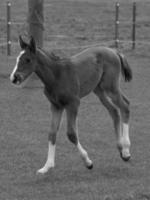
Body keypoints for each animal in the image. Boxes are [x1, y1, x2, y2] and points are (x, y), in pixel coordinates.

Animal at [10, 36, 132, 174]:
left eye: (28, 59)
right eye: (17, 59)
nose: (14, 78)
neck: (56, 75)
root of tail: (114, 51)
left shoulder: (73, 103)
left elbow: (71, 134)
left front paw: (88, 162)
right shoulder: (56, 106)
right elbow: (52, 133)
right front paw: (47, 166)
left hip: (110, 87)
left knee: (125, 106)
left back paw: (126, 150)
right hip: (99, 90)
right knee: (114, 111)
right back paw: (121, 149)